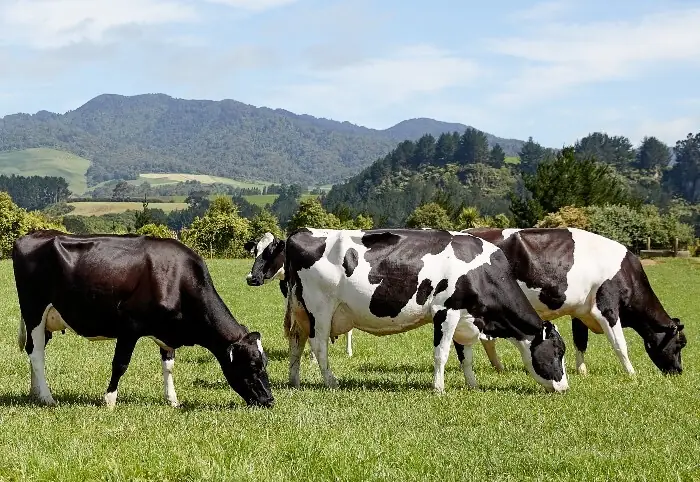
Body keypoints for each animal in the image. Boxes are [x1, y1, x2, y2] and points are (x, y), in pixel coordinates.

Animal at [12, 230, 274, 408]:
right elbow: (120, 364)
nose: (269, 400)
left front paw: (173, 400)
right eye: (253, 364)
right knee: (37, 354)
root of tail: (32, 235)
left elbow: (169, 366)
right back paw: (48, 398)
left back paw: (35, 393)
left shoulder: (167, 332)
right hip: (34, 312)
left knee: (34, 351)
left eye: (265, 362)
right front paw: (109, 400)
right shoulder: (130, 326)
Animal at [246, 228, 570, 393]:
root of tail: (300, 233)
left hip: (301, 310)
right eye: (557, 352)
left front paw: (473, 385)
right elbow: (442, 354)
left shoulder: (465, 316)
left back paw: (294, 380)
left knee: (296, 343)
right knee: (318, 345)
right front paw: (439, 389)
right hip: (319, 307)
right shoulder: (445, 310)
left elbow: (466, 356)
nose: (564, 387)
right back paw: (331, 382)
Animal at [463, 227, 687, 376]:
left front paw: (582, 370)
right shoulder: (607, 309)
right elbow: (620, 344)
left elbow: (580, 341)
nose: (678, 371)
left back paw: (499, 367)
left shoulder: (581, 312)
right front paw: (632, 374)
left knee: (486, 338)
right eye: (680, 344)